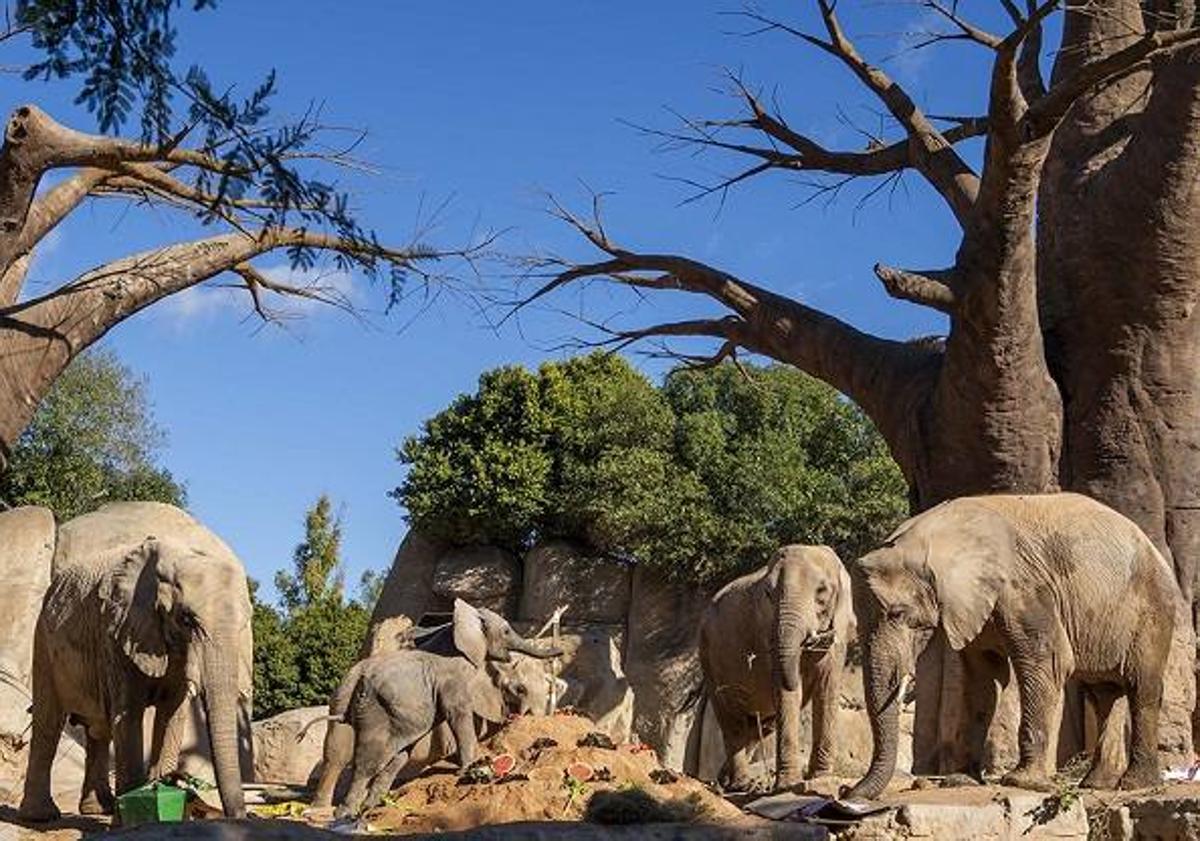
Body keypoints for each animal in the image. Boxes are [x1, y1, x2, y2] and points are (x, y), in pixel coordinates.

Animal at [19, 501, 254, 815]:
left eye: (244, 624)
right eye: (187, 619)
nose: (240, 815)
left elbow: (171, 713)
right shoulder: (116, 629)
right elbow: (128, 714)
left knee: (98, 729)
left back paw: (98, 809)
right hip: (43, 639)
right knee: (49, 720)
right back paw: (41, 816)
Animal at [700, 542, 859, 791]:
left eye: (822, 591)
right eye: (768, 594)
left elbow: (826, 688)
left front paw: (820, 779)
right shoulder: (768, 627)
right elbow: (786, 694)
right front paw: (788, 785)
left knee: (759, 727)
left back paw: (725, 781)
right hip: (708, 656)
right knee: (732, 721)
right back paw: (740, 784)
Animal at [844, 491, 1180, 801]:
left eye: (898, 613)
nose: (847, 792)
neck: (928, 536)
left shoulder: (1024, 586)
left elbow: (1049, 661)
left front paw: (1022, 782)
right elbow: (982, 677)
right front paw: (960, 781)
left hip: (1152, 608)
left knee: (1141, 686)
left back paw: (1135, 784)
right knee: (1104, 692)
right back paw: (1096, 784)